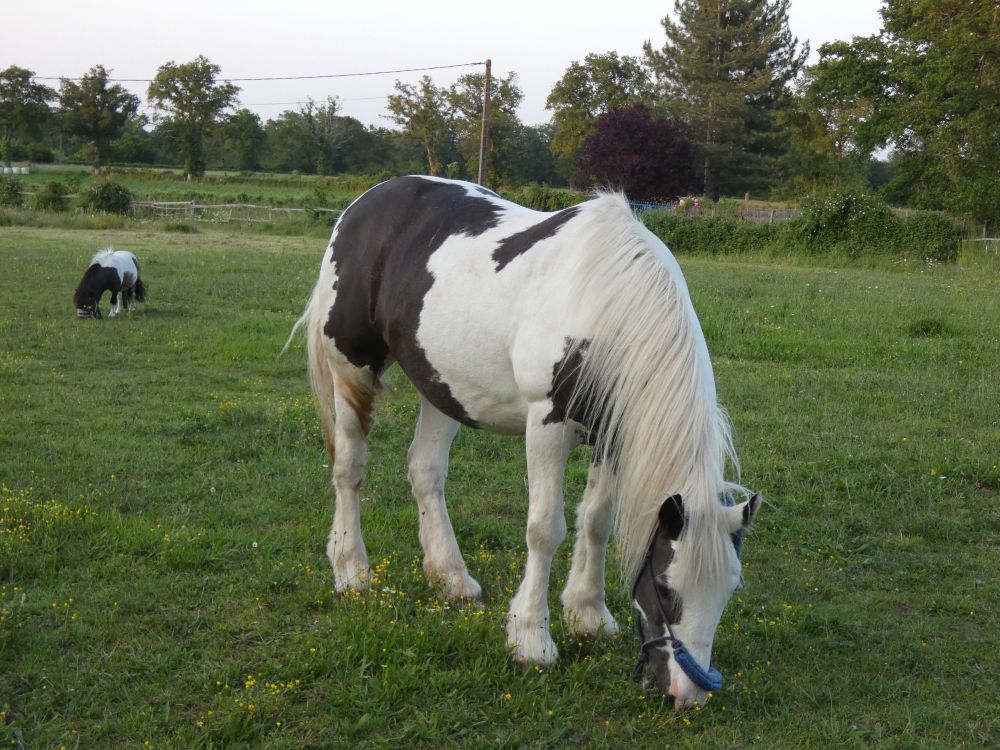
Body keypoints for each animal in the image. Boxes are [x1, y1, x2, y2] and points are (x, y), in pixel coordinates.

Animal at [292, 178, 764, 712]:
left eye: (729, 589)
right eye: (666, 588)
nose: (687, 695)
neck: (607, 305)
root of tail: (363, 204)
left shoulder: (611, 433)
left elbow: (596, 520)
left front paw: (588, 613)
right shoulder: (548, 425)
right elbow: (545, 529)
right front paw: (531, 638)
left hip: (442, 387)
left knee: (424, 471)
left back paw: (451, 576)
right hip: (350, 368)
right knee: (350, 468)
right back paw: (352, 571)